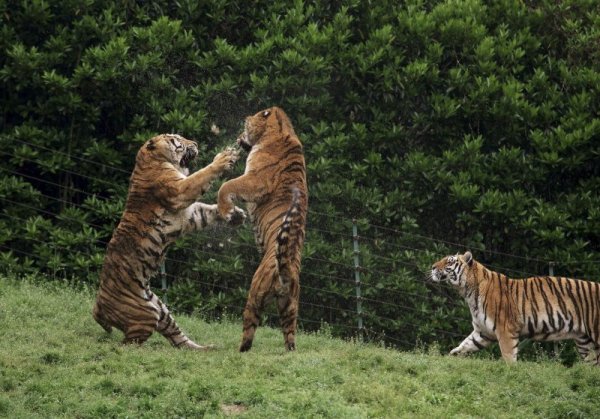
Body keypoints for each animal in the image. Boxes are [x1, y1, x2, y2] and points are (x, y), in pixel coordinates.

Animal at [92, 135, 246, 352]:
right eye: (178, 139)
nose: (195, 143)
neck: (153, 161)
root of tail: (97, 306)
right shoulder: (180, 191)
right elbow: (202, 175)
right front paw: (224, 158)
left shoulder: (191, 215)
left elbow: (208, 209)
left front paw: (236, 215)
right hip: (145, 316)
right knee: (128, 344)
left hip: (161, 310)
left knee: (179, 339)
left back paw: (206, 348)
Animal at [217, 106, 310, 352]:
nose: (239, 137)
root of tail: (286, 271)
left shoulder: (254, 180)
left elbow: (226, 186)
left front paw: (227, 212)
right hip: (289, 308)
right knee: (290, 338)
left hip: (255, 295)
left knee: (249, 331)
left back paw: (240, 351)